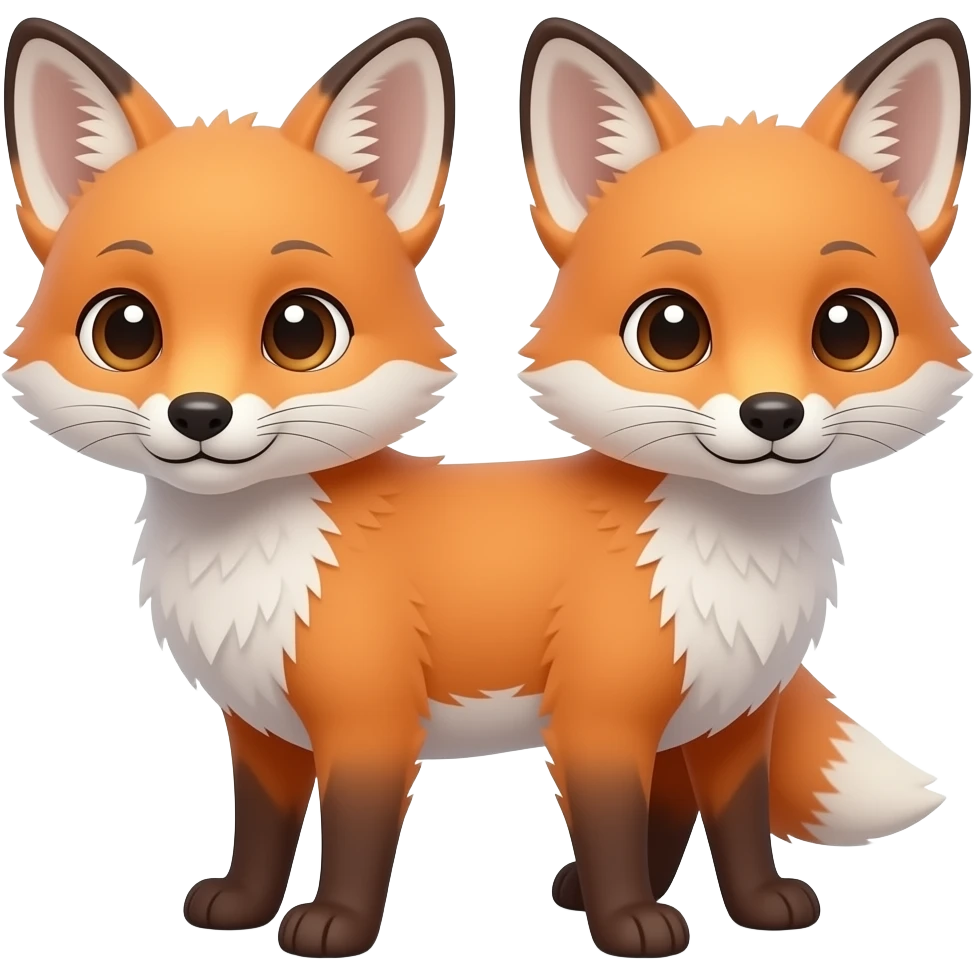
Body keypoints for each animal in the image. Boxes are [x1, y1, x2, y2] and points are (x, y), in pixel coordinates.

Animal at [1, 12, 968, 960]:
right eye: (126, 330)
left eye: (845, 330)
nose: (199, 413)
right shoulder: (273, 722)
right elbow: (268, 828)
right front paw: (245, 906)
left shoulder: (614, 718)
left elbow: (716, 821)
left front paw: (711, 912)